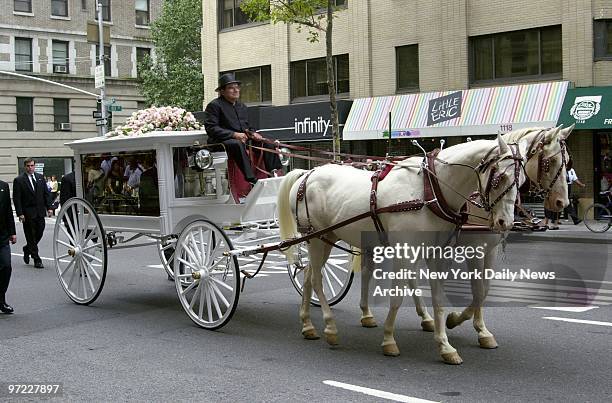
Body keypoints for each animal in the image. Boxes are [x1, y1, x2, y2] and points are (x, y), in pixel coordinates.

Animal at [278, 136, 520, 366]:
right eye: (500, 178)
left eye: (519, 182)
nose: (505, 222)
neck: (429, 191)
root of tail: (307, 173)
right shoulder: (406, 251)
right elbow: (397, 297)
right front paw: (388, 339)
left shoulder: (437, 254)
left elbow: (438, 299)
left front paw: (445, 346)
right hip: (316, 238)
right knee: (316, 279)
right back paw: (329, 327)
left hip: (325, 238)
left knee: (308, 276)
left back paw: (308, 325)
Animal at [358, 125, 572, 362]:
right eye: (550, 162)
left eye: (567, 161)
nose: (562, 203)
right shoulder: (473, 249)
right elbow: (477, 290)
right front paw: (457, 321)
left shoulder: (490, 249)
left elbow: (484, 289)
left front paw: (480, 329)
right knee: (370, 272)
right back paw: (368, 314)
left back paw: (423, 317)